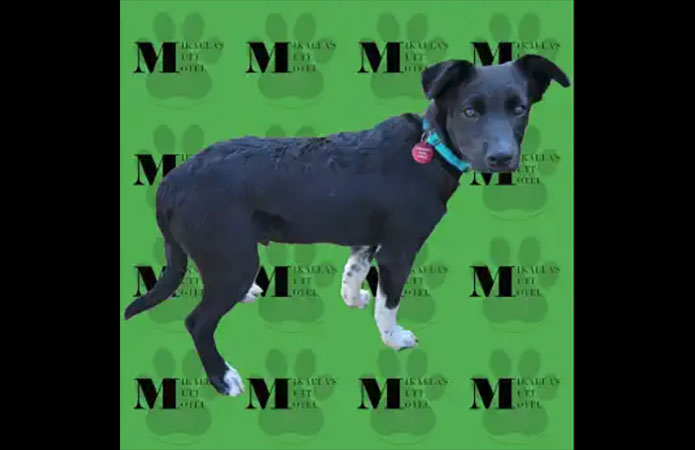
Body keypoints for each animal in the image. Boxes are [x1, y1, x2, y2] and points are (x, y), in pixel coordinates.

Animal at [124, 54, 570, 396]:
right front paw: (394, 339)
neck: (428, 147)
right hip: (232, 259)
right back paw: (223, 378)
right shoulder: (399, 251)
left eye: (519, 109)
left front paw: (353, 299)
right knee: (197, 322)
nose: (502, 158)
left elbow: (354, 270)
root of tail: (171, 180)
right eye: (470, 111)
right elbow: (389, 304)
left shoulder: (368, 240)